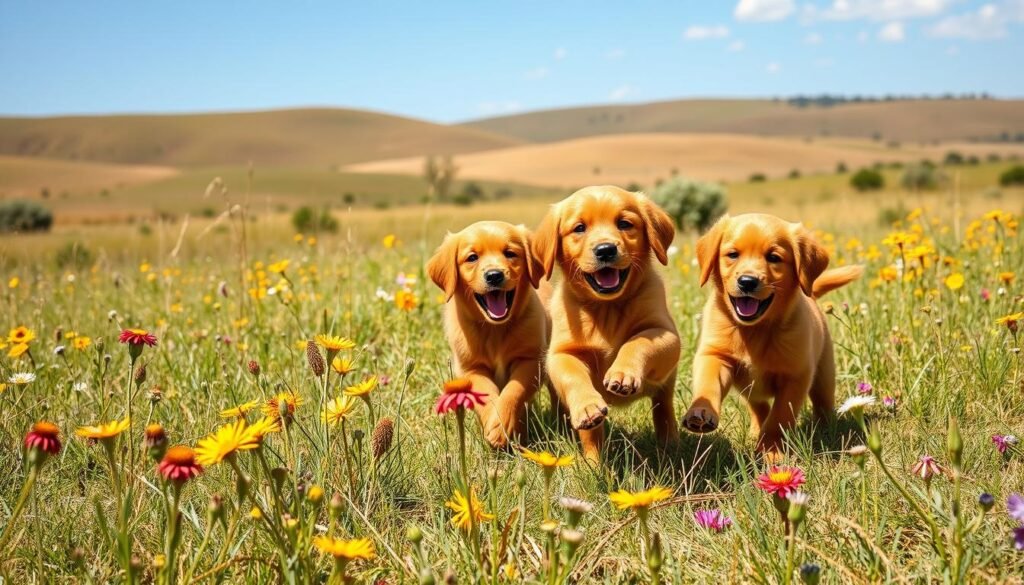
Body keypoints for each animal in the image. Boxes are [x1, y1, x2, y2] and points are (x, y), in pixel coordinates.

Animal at [425, 222, 548, 446]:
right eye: (472, 257)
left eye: (510, 253)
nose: (494, 275)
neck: (494, 329)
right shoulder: (471, 368)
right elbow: (487, 393)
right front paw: (495, 423)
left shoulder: (531, 360)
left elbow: (514, 390)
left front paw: (501, 425)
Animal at [532, 185, 684, 465]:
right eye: (579, 228)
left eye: (624, 224)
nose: (605, 250)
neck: (607, 308)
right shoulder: (561, 353)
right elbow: (573, 375)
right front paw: (587, 406)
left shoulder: (666, 333)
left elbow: (637, 342)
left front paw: (622, 373)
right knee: (591, 433)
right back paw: (593, 462)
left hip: (666, 380)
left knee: (663, 407)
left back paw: (670, 444)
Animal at [679, 213, 864, 461]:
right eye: (733, 254)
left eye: (774, 257)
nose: (747, 281)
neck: (755, 330)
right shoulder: (715, 355)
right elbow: (708, 385)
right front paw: (700, 412)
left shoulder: (796, 376)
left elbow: (780, 417)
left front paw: (772, 450)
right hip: (749, 388)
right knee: (759, 408)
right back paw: (755, 430)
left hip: (824, 374)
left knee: (822, 402)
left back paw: (826, 428)